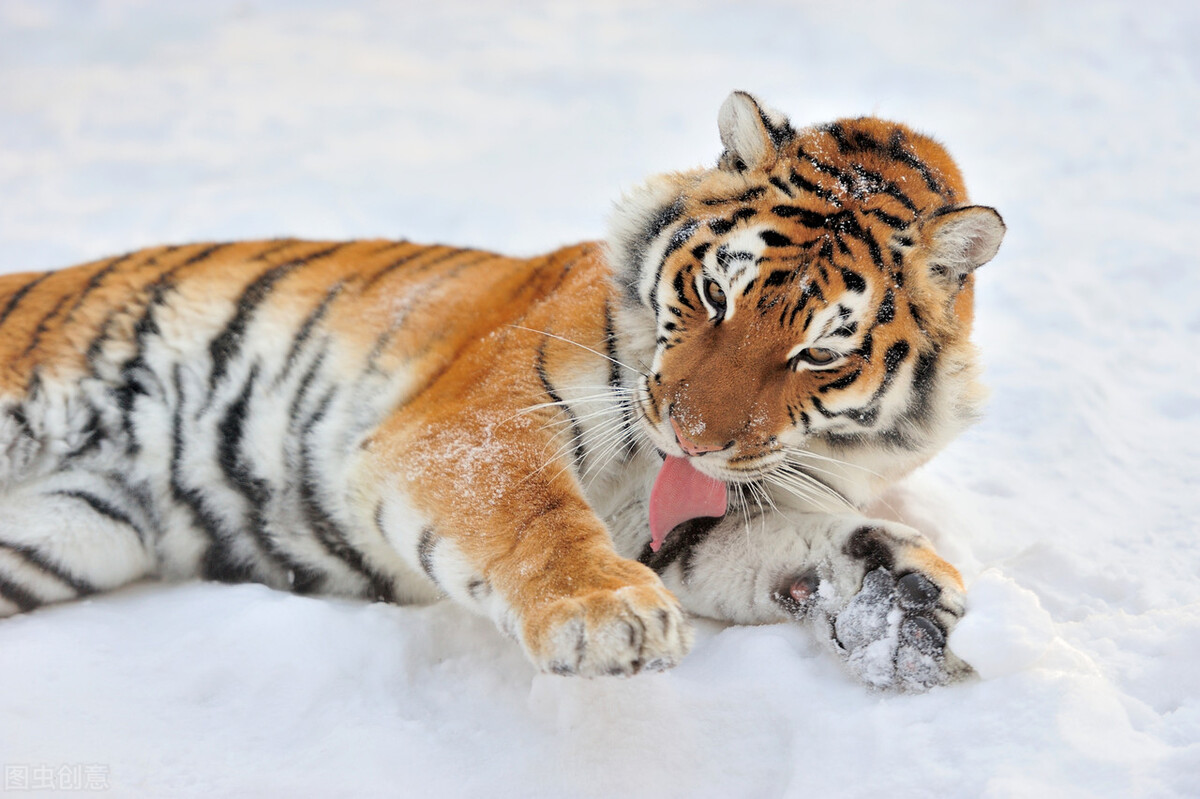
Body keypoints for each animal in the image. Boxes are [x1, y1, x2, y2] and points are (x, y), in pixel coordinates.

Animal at [0, 93, 1003, 686]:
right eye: (716, 293)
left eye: (819, 353)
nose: (691, 434)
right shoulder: (474, 425)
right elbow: (534, 514)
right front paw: (606, 616)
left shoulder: (686, 522)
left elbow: (779, 542)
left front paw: (902, 582)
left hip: (63, 530)